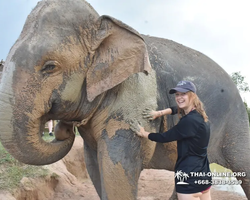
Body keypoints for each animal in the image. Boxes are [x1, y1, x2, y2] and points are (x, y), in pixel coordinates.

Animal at [0, 0, 250, 199]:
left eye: (50, 67)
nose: (62, 129)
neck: (106, 26)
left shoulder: (132, 101)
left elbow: (116, 168)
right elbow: (95, 166)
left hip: (236, 122)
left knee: (243, 164)